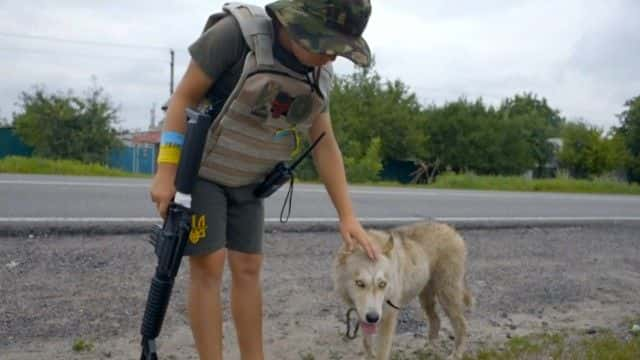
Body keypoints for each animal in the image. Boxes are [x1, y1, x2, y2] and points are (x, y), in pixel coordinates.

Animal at [332, 221, 472, 358]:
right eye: (360, 283)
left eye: (382, 284)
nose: (373, 318)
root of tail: (451, 229)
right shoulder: (363, 314)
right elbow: (367, 344)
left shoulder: (388, 317)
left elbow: (382, 352)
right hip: (425, 298)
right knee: (436, 320)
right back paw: (429, 348)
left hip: (446, 296)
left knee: (462, 324)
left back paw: (457, 353)